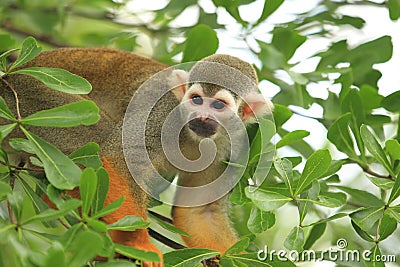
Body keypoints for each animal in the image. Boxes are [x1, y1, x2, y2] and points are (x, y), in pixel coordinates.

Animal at [0, 47, 272, 266]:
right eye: (196, 99)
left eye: (218, 105)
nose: (201, 117)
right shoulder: (162, 113)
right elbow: (119, 160)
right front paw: (139, 245)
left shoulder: (235, 147)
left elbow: (198, 211)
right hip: (29, 99)